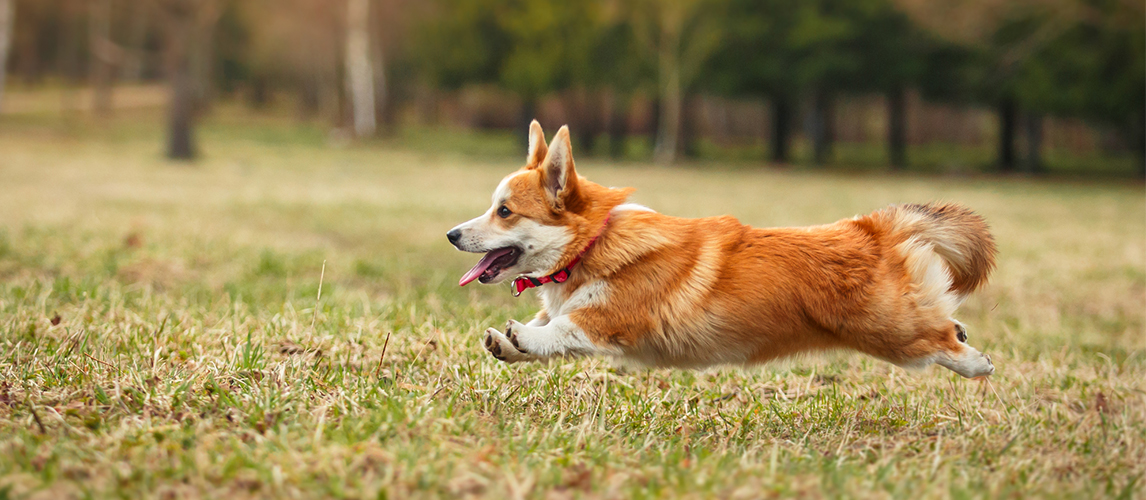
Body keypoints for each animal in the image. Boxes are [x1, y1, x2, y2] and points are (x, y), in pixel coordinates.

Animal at [442, 120, 999, 376]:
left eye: (504, 211)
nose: (451, 235)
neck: (592, 244)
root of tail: (871, 228)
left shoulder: (612, 320)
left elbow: (560, 329)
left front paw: (522, 336)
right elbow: (541, 331)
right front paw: (507, 342)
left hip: (890, 331)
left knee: (939, 337)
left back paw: (978, 362)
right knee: (944, 320)